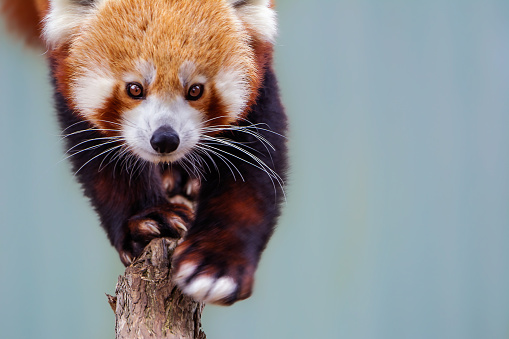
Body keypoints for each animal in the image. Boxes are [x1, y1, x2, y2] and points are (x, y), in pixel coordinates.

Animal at [0, 0, 286, 306]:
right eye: (134, 89)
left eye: (195, 90)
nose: (165, 139)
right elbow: (104, 157)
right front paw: (148, 219)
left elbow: (253, 170)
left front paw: (217, 266)